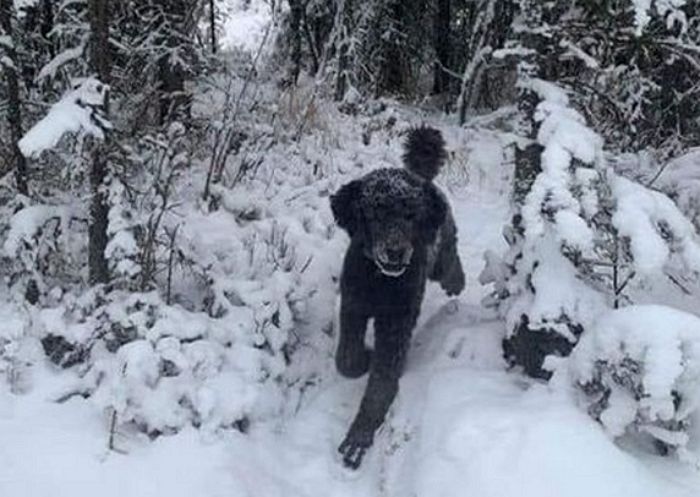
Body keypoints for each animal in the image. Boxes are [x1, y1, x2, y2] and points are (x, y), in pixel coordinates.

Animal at [330, 126, 462, 466]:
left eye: (411, 215)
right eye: (375, 214)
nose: (395, 251)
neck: (380, 281)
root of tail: (419, 176)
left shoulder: (396, 325)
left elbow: (381, 383)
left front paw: (359, 437)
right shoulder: (353, 305)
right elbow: (346, 360)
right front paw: (363, 359)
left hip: (441, 247)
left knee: (449, 262)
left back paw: (457, 282)